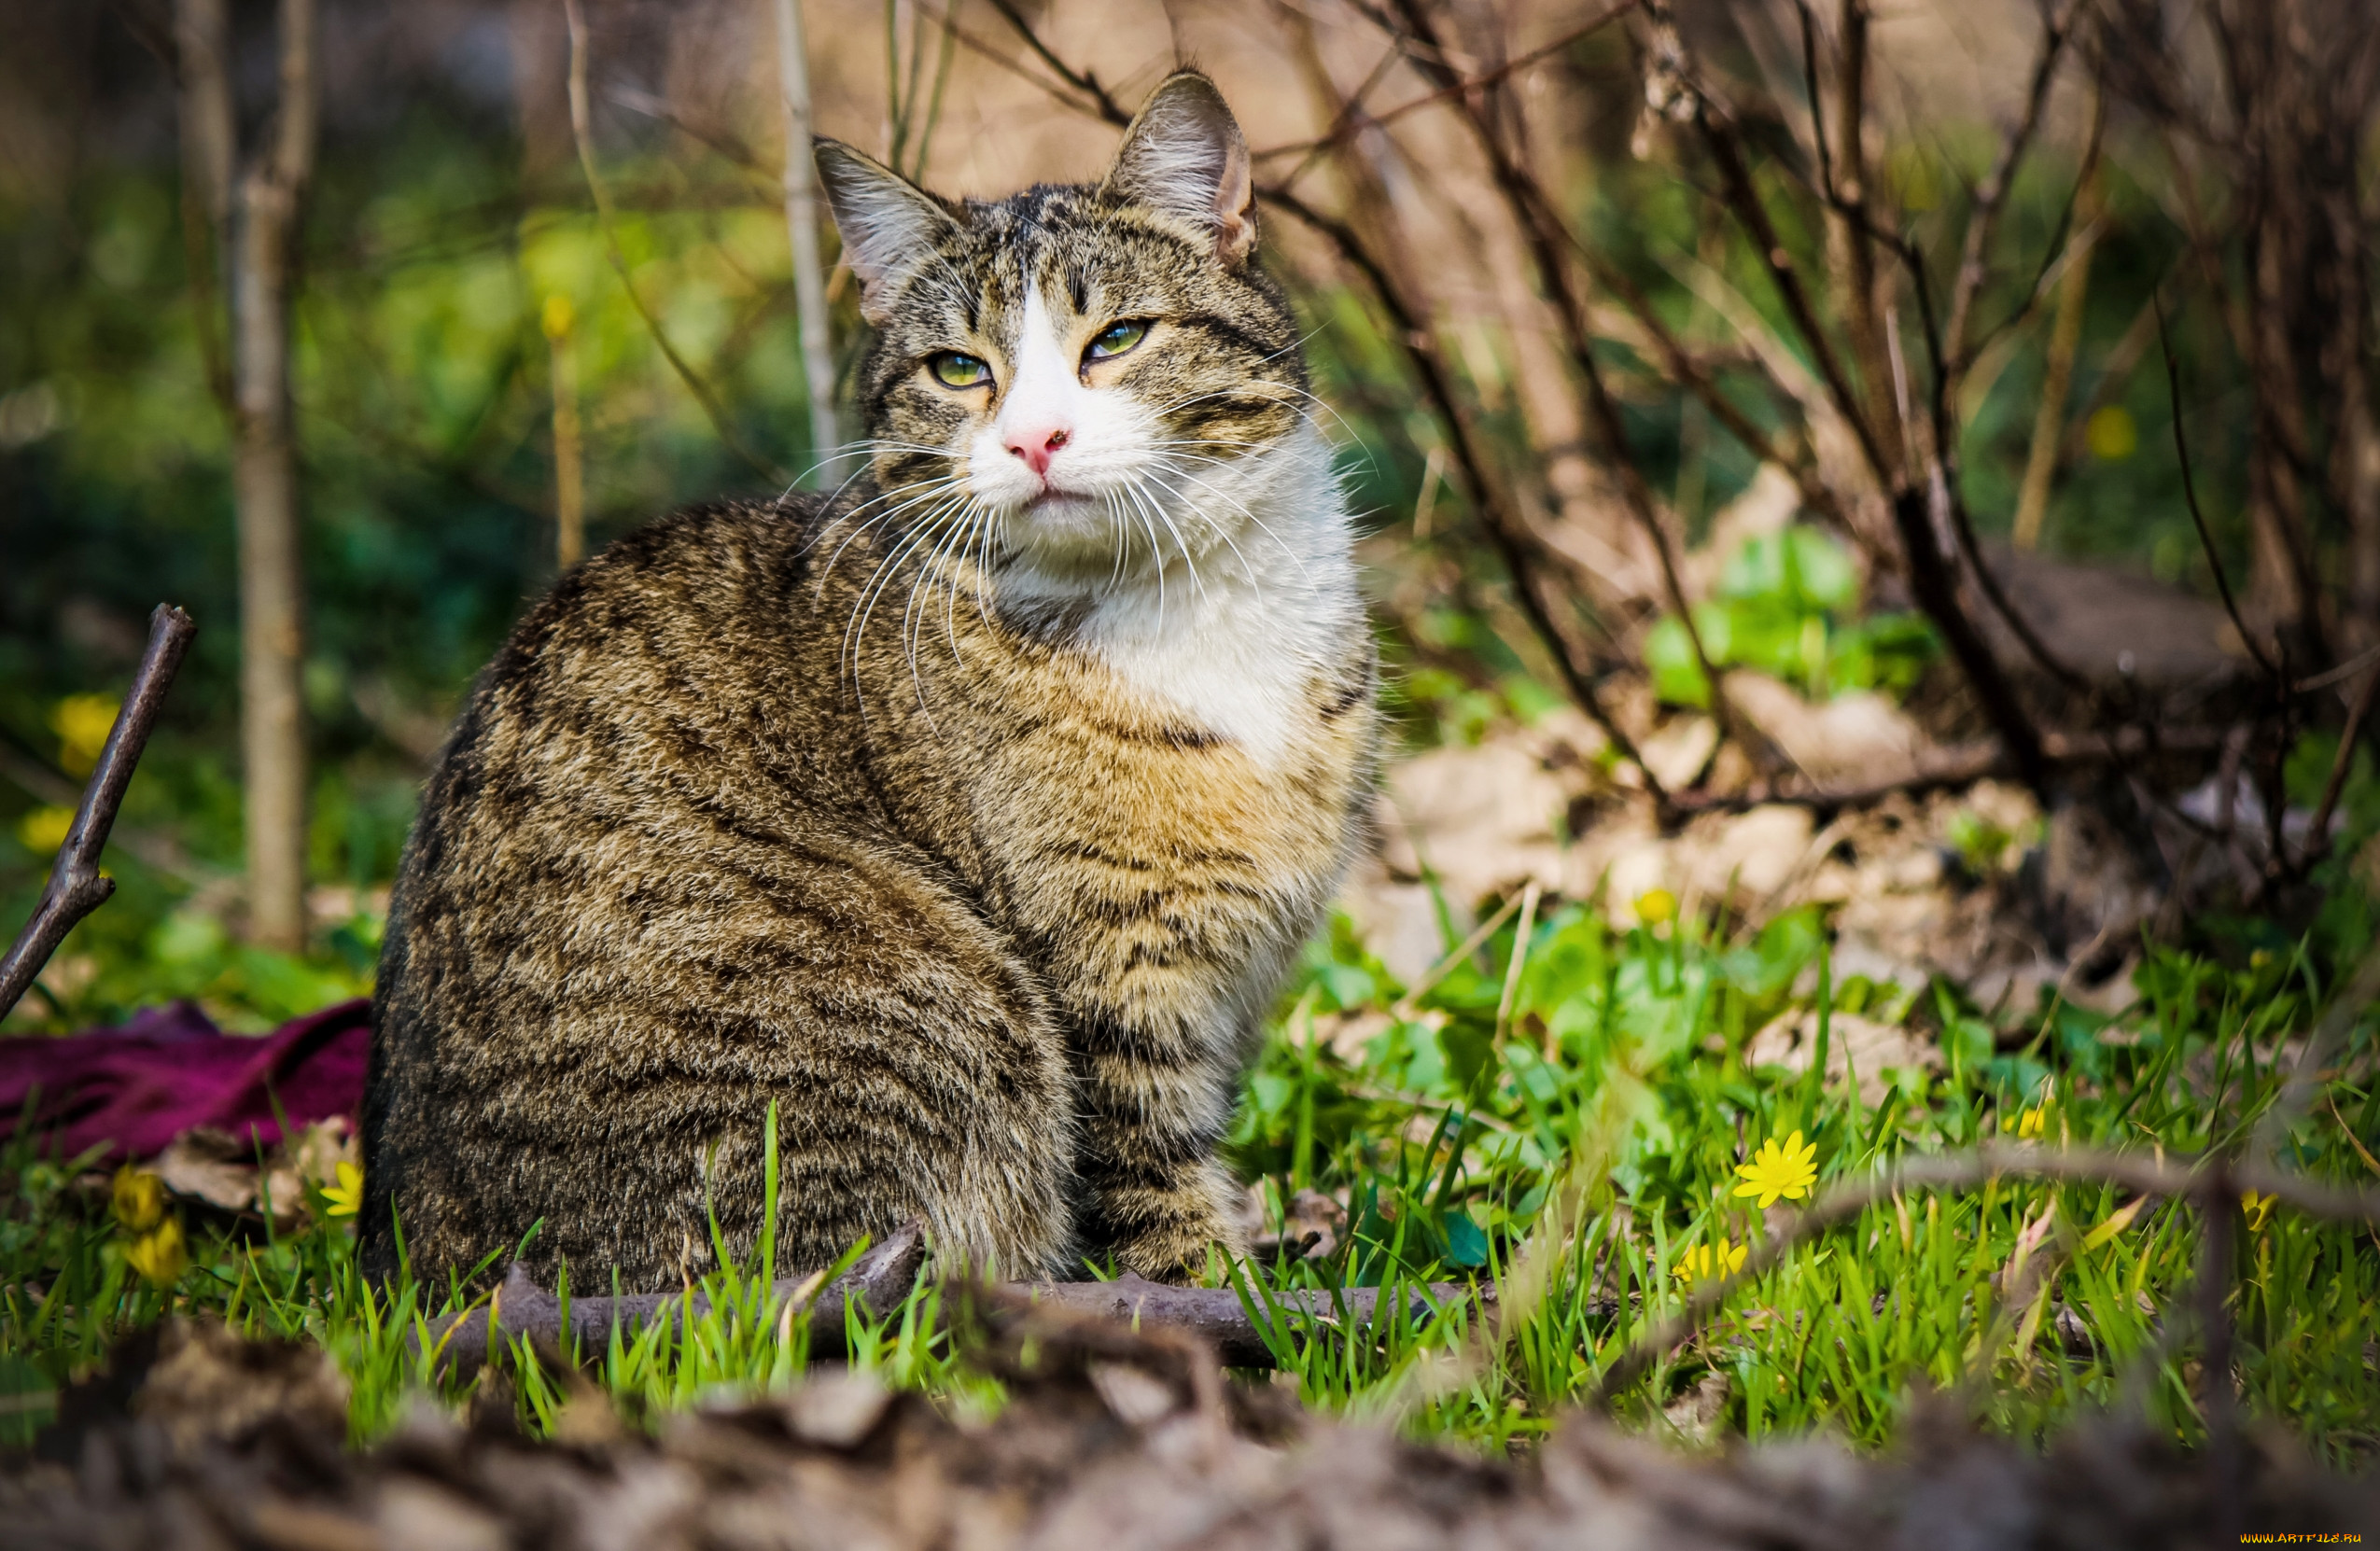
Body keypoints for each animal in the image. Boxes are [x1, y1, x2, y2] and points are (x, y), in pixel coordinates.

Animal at [361, 69, 1390, 1284]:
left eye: (1120, 339)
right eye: (960, 369)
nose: (1036, 439)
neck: (1182, 602)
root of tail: (415, 1268)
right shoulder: (1108, 988)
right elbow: (1155, 1197)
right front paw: (1225, 1299)